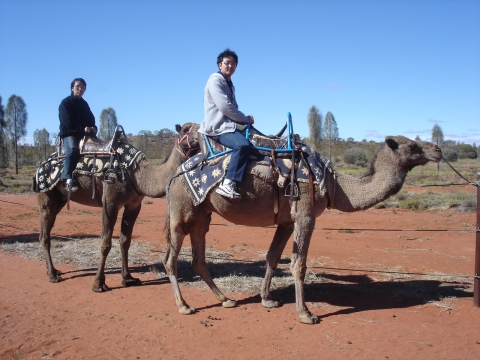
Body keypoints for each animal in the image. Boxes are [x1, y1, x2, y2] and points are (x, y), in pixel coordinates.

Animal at [38, 122, 201, 292]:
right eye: (185, 129)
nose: (201, 132)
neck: (137, 174)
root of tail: (42, 163)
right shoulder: (110, 203)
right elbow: (105, 243)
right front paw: (99, 283)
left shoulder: (134, 205)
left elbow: (125, 241)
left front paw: (128, 278)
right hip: (47, 196)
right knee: (45, 234)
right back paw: (53, 275)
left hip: (60, 199)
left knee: (47, 230)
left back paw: (54, 271)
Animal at [162, 135, 442, 324]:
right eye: (412, 146)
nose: (438, 150)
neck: (334, 184)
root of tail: (175, 173)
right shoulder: (306, 215)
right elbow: (299, 264)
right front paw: (306, 313)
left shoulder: (287, 221)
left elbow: (273, 257)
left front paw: (267, 299)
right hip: (181, 209)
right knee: (170, 259)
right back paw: (184, 305)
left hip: (202, 214)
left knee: (198, 258)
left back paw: (226, 299)